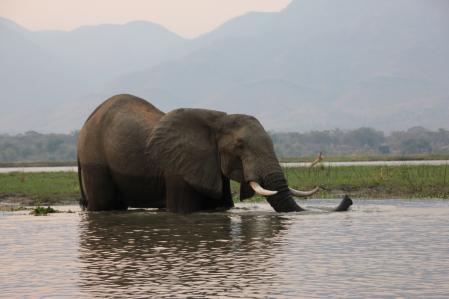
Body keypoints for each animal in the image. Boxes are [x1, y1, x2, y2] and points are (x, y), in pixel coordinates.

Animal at [77, 94, 352, 213]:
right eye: (240, 146)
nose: (348, 199)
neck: (217, 120)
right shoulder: (178, 168)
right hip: (94, 161)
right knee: (105, 205)